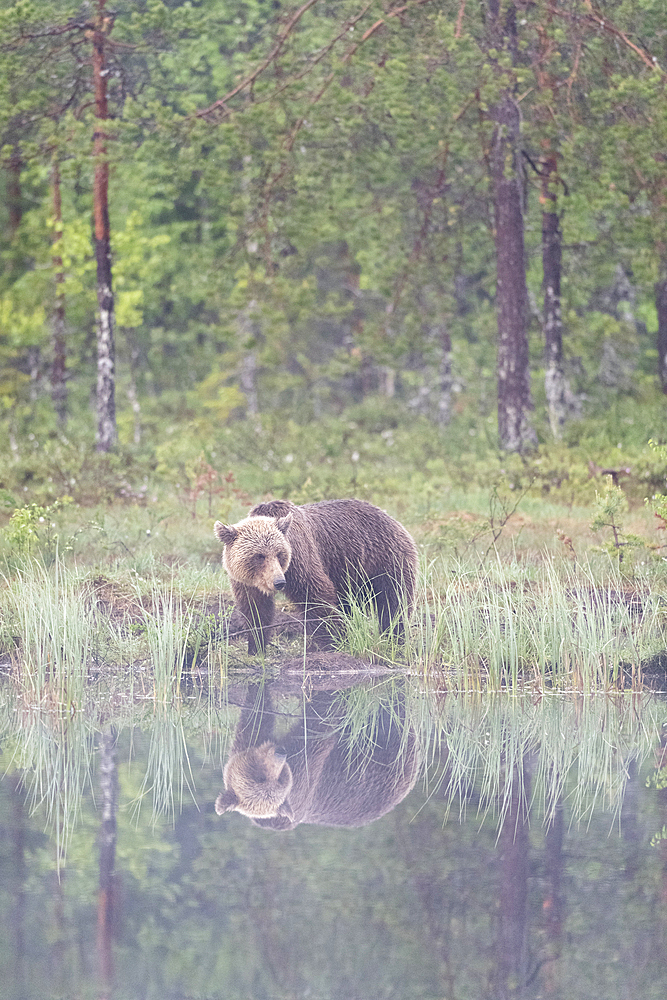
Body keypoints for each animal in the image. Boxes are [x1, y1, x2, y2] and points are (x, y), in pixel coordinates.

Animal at [214, 496, 418, 652]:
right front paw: (256, 647)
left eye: (279, 554)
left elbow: (316, 595)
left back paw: (395, 638)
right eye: (259, 556)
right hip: (348, 574)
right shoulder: (245, 581)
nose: (279, 582)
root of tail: (392, 519)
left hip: (385, 560)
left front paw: (331, 642)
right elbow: (256, 610)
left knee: (394, 602)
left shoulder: (300, 559)